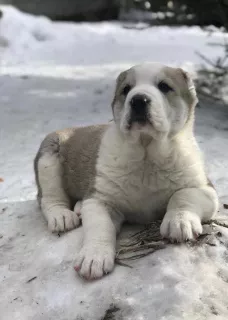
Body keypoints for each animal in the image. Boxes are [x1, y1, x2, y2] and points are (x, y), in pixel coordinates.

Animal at [34, 62, 219, 280]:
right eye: (126, 89)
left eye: (164, 86)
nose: (138, 100)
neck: (147, 156)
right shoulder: (100, 200)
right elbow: (100, 225)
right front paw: (94, 255)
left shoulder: (206, 189)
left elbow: (183, 195)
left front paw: (179, 221)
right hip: (49, 154)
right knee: (49, 198)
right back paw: (62, 216)